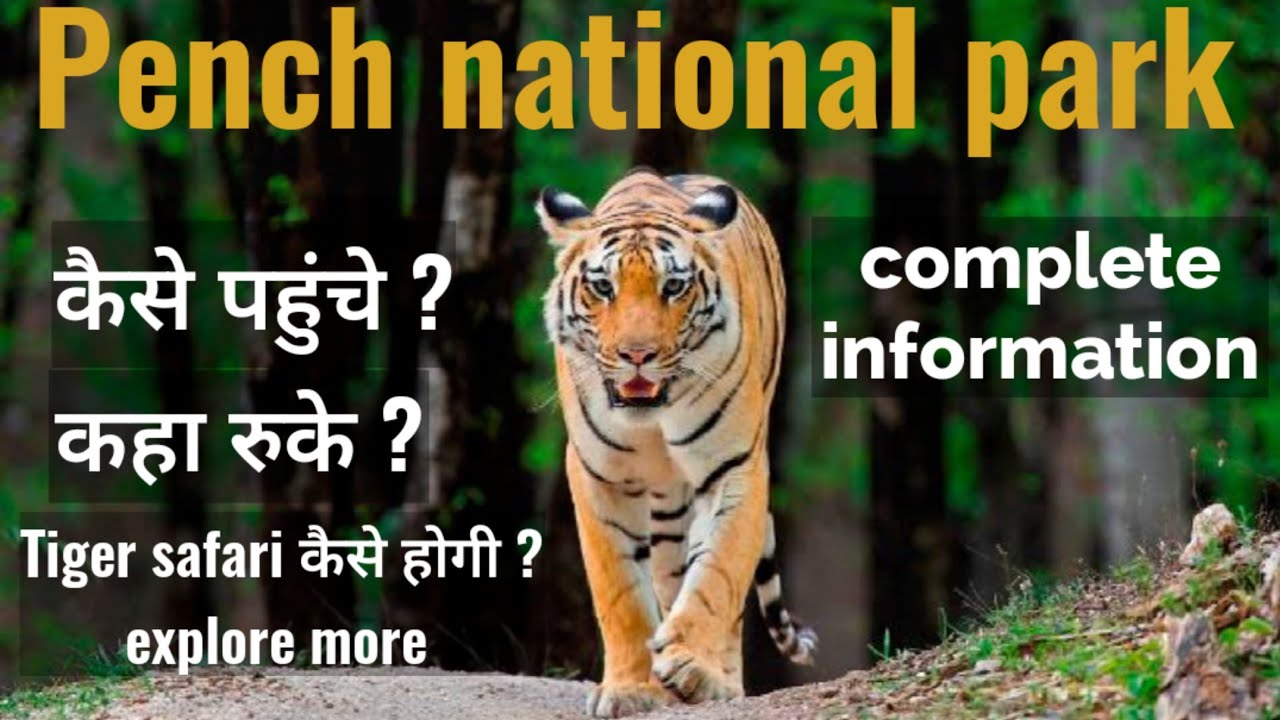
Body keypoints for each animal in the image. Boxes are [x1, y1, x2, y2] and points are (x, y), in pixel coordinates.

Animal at [537, 167, 817, 717]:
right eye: (603, 287)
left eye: (674, 287)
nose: (637, 355)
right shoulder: (597, 476)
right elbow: (619, 591)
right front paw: (630, 687)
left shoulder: (734, 466)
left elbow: (717, 574)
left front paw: (692, 666)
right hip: (666, 511)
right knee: (665, 576)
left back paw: (714, 681)